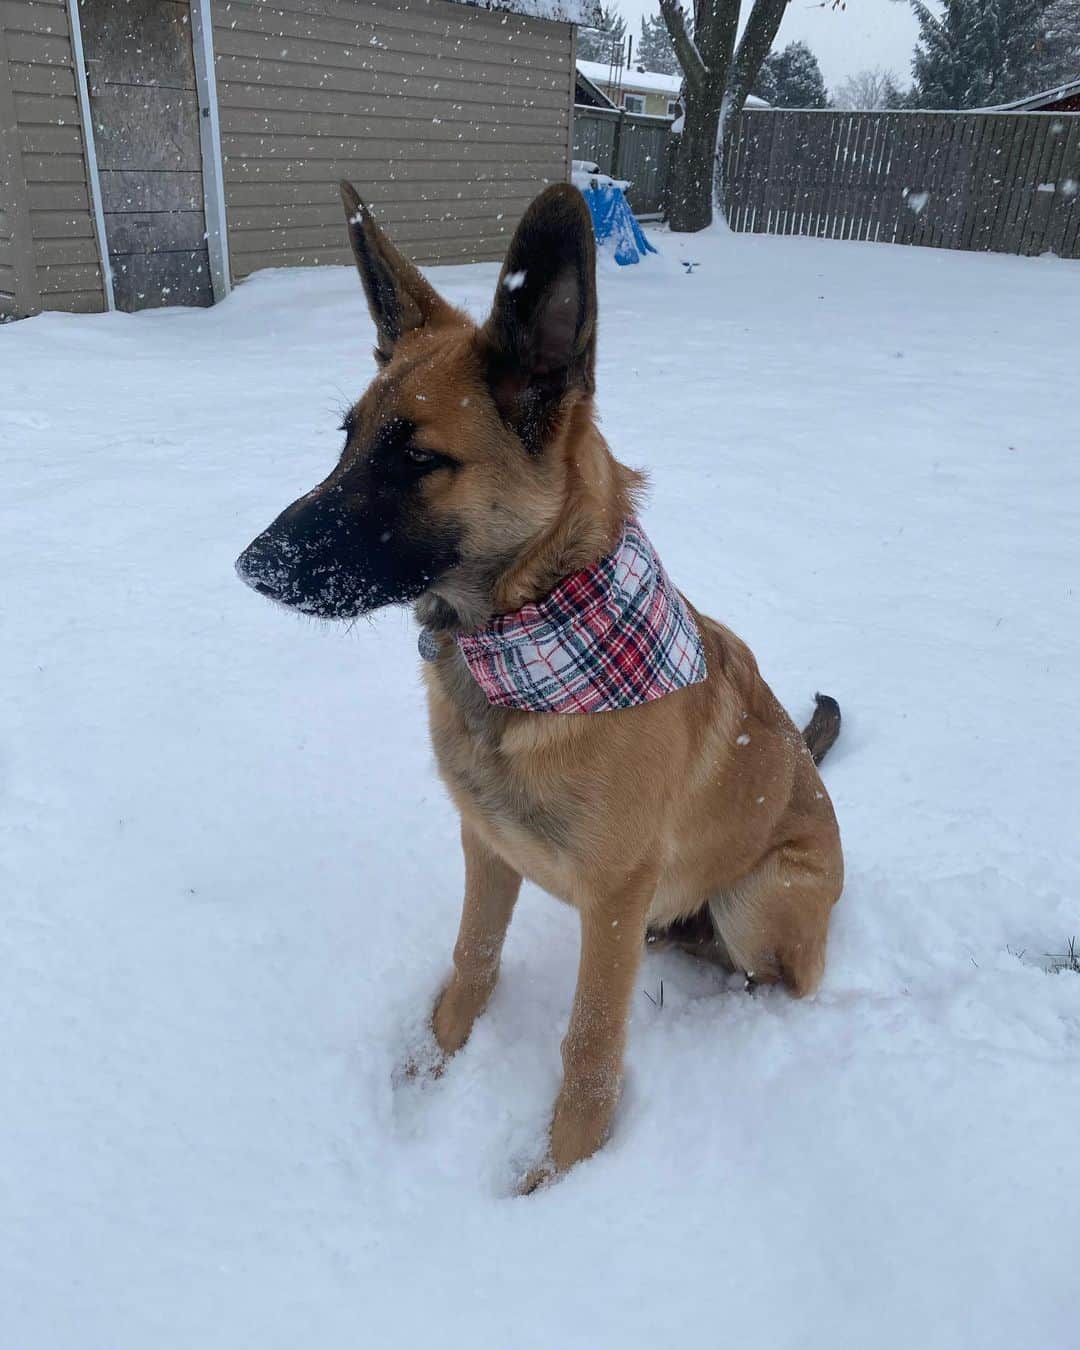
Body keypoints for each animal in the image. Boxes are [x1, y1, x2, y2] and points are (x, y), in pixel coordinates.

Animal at [236, 184, 842, 1188]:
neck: (524, 644)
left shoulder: (615, 894)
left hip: (760, 900)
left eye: (417, 458)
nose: (251, 567)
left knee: (782, 980)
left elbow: (590, 1042)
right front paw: (429, 1064)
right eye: (347, 440)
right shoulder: (487, 850)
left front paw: (562, 1175)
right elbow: (472, 960)